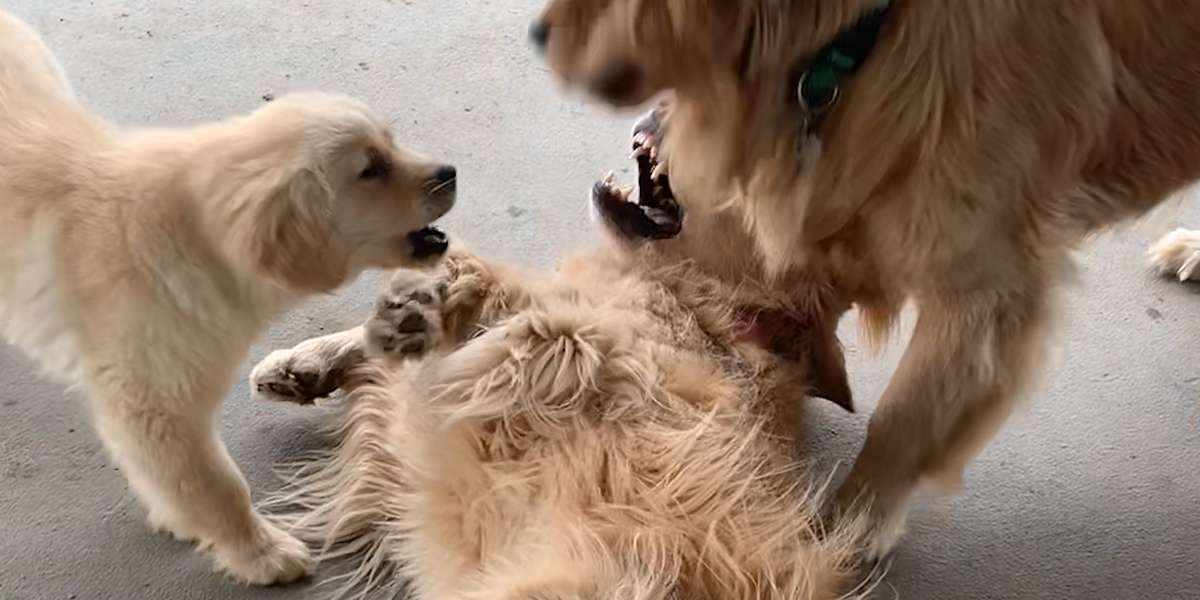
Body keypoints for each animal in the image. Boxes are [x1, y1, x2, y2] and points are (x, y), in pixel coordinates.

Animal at [0, 8, 453, 580]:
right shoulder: (153, 401)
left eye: (391, 143)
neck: (192, 238)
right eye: (371, 169)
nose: (451, 172)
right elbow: (215, 484)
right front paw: (260, 553)